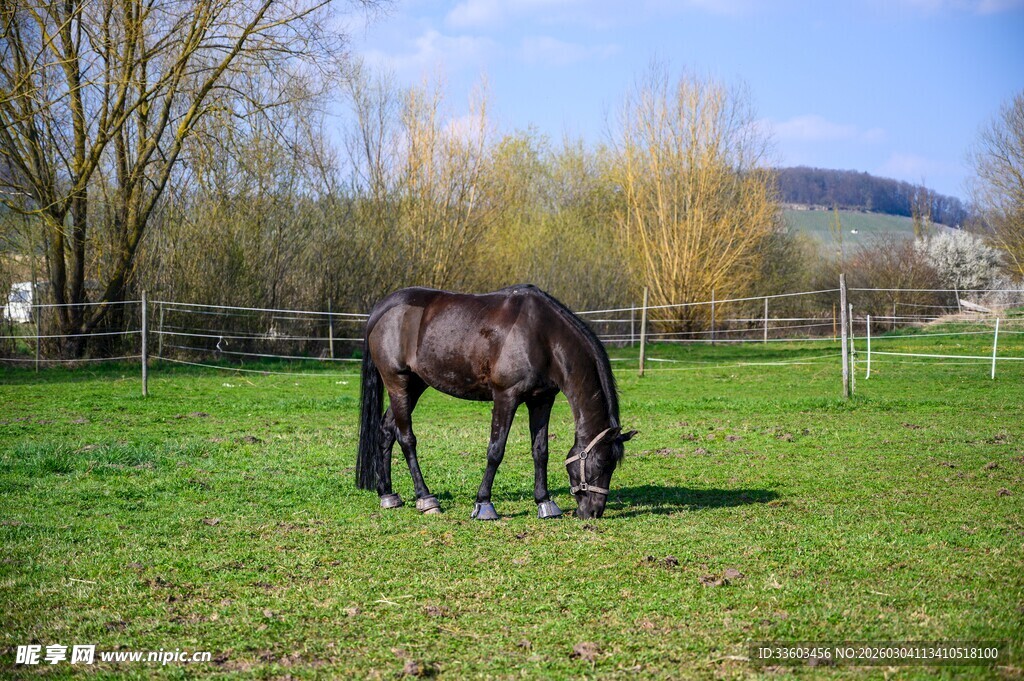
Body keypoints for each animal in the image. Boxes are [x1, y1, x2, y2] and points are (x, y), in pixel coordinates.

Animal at [355, 285, 636, 520]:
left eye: (613, 466)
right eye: (600, 464)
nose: (593, 512)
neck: (542, 336)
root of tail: (380, 310)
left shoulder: (542, 400)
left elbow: (540, 451)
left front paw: (544, 502)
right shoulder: (505, 397)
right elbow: (496, 450)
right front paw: (483, 504)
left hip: (415, 385)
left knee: (386, 430)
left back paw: (388, 494)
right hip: (397, 382)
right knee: (406, 438)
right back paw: (426, 498)